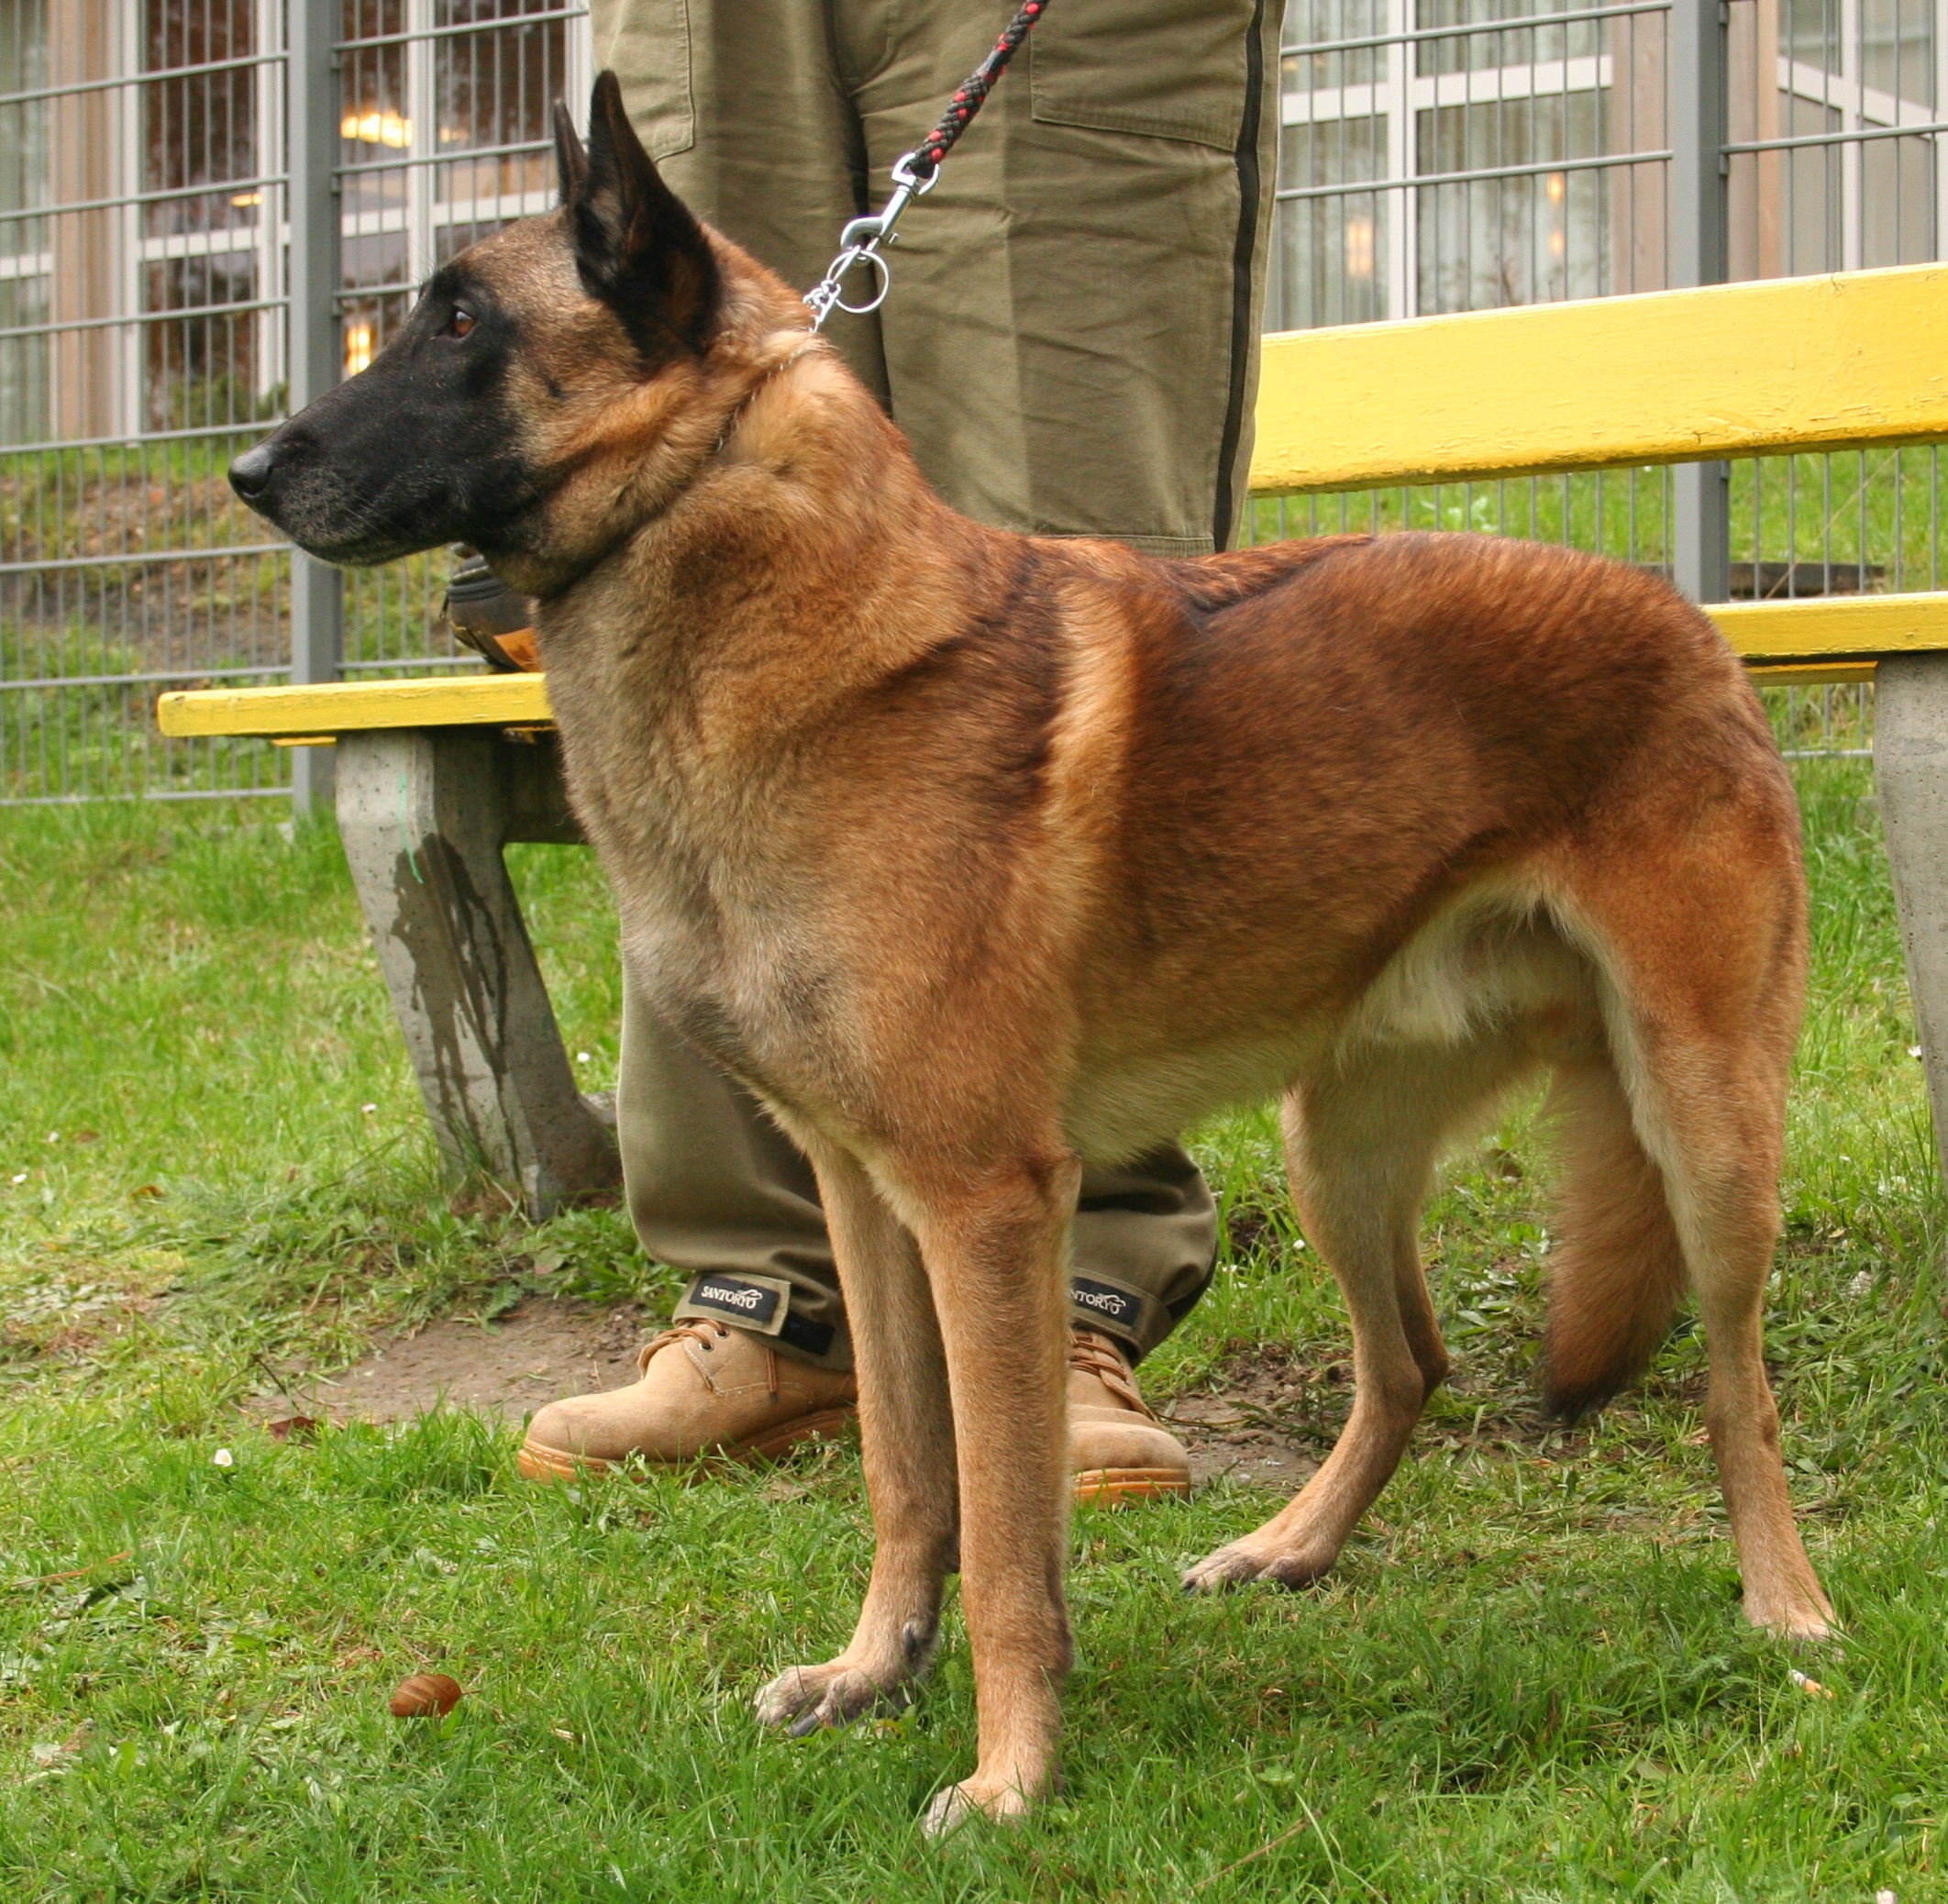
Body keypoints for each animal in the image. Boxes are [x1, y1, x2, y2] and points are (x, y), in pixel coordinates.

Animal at [236, 73, 1831, 1823]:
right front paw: (874, 1673)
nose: (245, 469)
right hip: (1335, 1143)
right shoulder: (864, 1202)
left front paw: (1009, 1777)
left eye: (461, 323)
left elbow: (1005, 1525)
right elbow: (900, 1475)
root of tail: (1681, 616)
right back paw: (1291, 1549)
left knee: (1734, 1381)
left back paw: (1785, 1608)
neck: (795, 632)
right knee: (1406, 1363)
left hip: (1701, 1123)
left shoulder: (985, 1207)